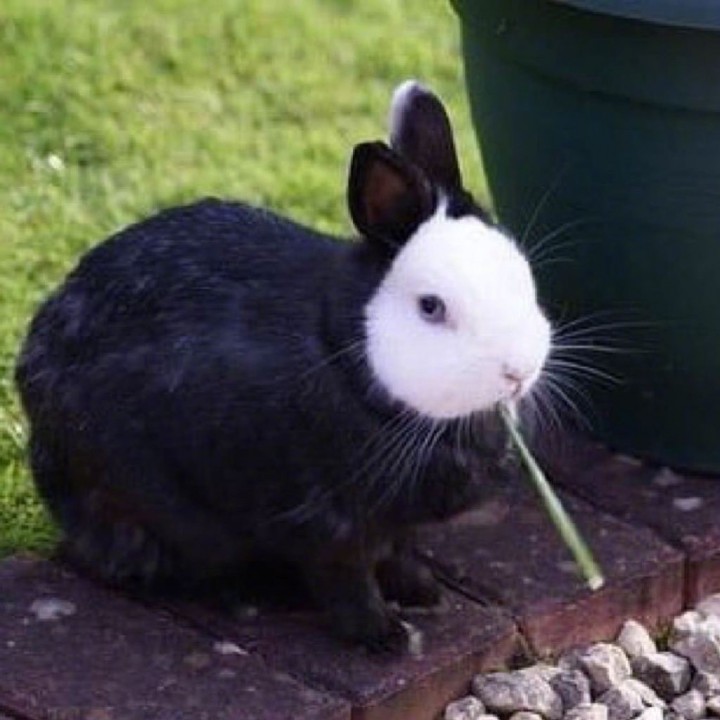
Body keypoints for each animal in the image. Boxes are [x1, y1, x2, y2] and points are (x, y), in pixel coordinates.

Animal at [15, 80, 551, 652]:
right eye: (431, 307)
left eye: (522, 275)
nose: (518, 371)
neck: (344, 353)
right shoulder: (325, 520)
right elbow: (348, 581)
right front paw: (386, 637)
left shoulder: (393, 524)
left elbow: (398, 553)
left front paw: (424, 593)